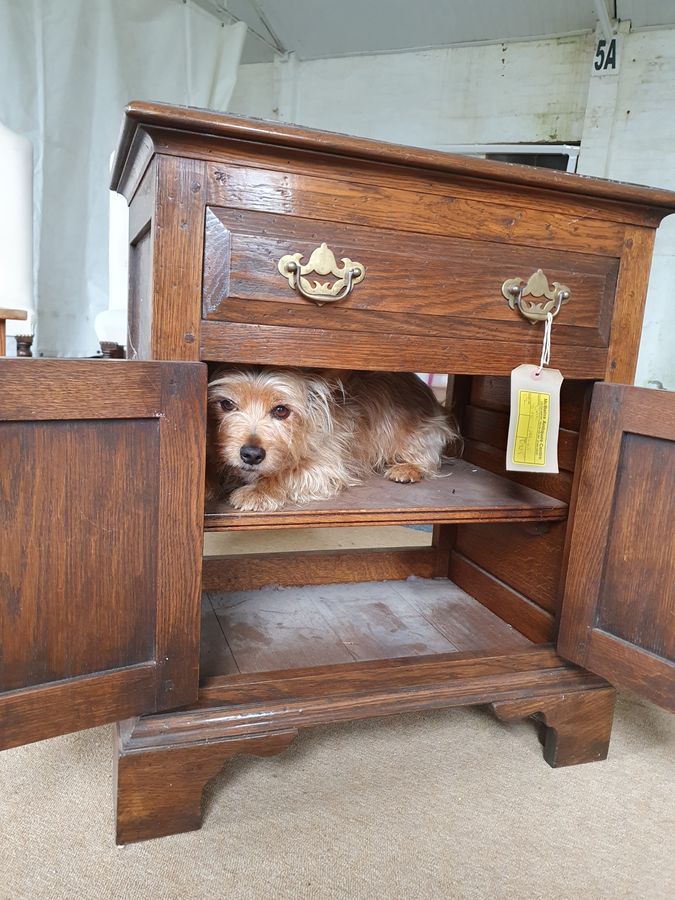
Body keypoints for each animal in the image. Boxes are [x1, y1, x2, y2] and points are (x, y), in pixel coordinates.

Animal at [206, 366, 460, 506]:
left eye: (281, 410)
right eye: (226, 404)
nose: (251, 454)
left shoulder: (325, 466)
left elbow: (287, 474)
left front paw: (259, 490)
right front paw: (208, 482)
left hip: (418, 433)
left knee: (427, 458)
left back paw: (407, 468)